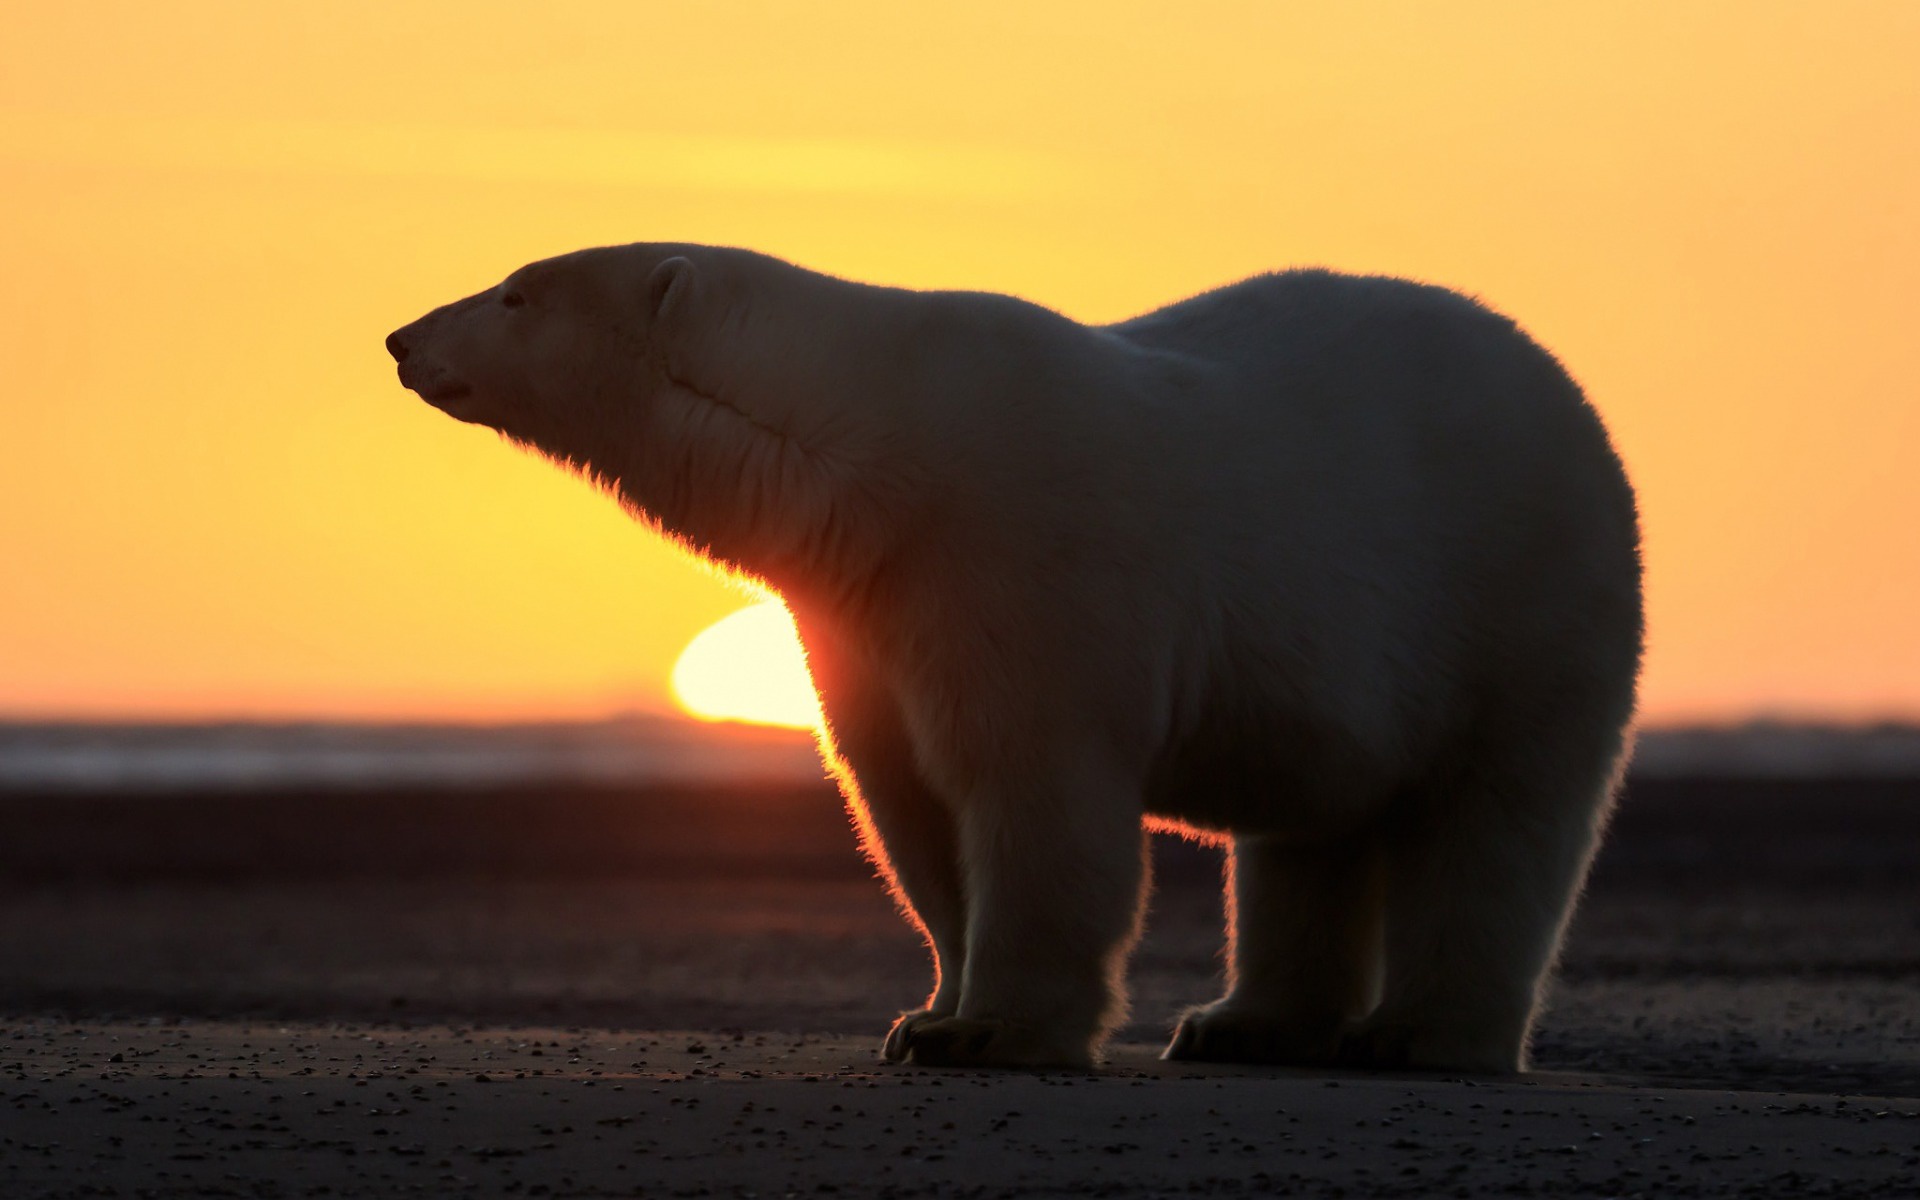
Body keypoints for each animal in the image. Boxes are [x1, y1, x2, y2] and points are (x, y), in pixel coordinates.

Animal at [387, 243, 1642, 1073]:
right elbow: (906, 803)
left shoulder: (1016, 551)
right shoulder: (863, 608)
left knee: (1498, 820)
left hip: (1522, 592)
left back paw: (1423, 1034)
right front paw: (927, 1013)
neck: (871, 448)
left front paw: (994, 1031)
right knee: (1308, 831)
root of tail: (1570, 391)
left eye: (513, 290)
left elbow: (1033, 794)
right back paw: (1243, 1024)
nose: (401, 337)